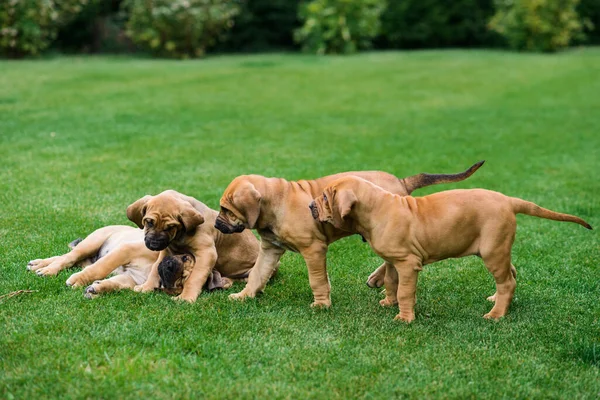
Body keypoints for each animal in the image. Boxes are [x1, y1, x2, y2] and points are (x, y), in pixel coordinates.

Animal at [129, 189, 260, 302]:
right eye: (149, 222)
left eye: (171, 227)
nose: (154, 244)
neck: (179, 236)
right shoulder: (167, 252)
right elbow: (155, 270)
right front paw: (146, 287)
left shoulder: (207, 254)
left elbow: (194, 278)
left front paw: (186, 297)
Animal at [214, 161, 482, 308]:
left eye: (226, 210)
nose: (216, 224)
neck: (276, 203)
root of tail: (402, 182)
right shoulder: (271, 248)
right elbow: (257, 274)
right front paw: (245, 295)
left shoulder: (314, 249)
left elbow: (316, 279)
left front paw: (321, 304)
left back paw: (378, 280)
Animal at [312, 177, 592, 324]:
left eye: (325, 198)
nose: (310, 207)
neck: (376, 208)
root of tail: (509, 200)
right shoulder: (393, 261)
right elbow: (392, 283)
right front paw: (388, 302)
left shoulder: (408, 264)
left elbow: (405, 291)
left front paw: (404, 317)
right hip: (499, 248)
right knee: (510, 274)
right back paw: (497, 300)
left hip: (492, 250)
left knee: (507, 281)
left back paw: (496, 314)